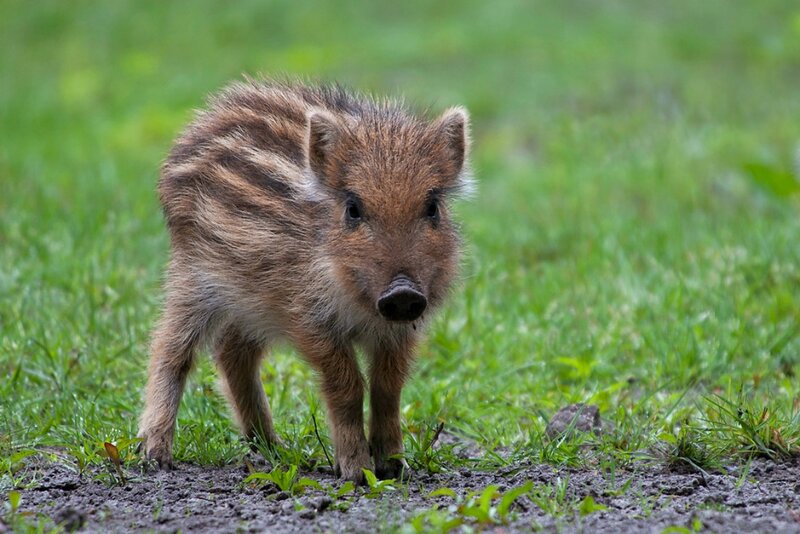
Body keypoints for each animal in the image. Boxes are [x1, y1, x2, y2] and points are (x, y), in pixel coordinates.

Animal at [137, 79, 473, 483]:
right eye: (353, 208)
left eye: (433, 206)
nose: (402, 292)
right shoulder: (308, 318)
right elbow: (347, 387)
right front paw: (357, 471)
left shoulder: (402, 329)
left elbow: (388, 388)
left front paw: (394, 466)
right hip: (194, 277)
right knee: (170, 349)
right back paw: (155, 454)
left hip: (248, 303)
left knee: (232, 351)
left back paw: (273, 447)